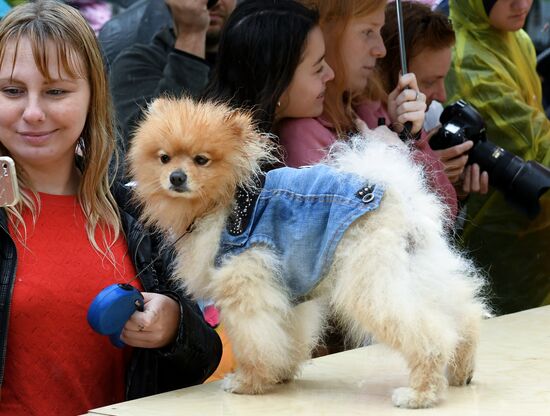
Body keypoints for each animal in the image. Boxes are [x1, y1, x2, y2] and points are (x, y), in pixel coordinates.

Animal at [128, 96, 488, 408]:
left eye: (201, 160)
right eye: (164, 158)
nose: (176, 177)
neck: (225, 201)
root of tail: (393, 194)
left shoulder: (246, 282)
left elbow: (255, 341)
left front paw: (249, 382)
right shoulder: (288, 289)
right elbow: (289, 335)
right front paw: (281, 374)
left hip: (370, 278)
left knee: (428, 334)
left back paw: (419, 394)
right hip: (416, 268)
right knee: (462, 313)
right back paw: (462, 368)